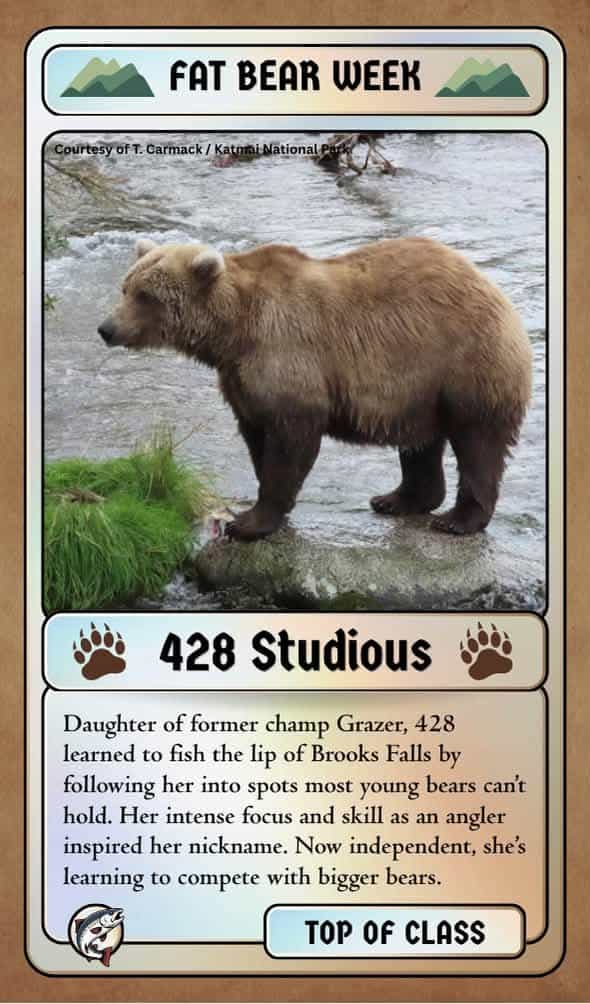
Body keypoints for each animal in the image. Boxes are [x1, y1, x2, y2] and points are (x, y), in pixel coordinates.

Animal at [98, 236, 532, 541]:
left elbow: (291, 441)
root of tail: (492, 288)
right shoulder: (240, 378)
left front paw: (249, 522)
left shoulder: (288, 354)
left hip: (465, 362)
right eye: (126, 286)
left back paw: (457, 520)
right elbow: (256, 434)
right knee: (420, 442)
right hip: (419, 386)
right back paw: (397, 499)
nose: (106, 328)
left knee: (478, 442)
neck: (233, 333)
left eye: (146, 295)